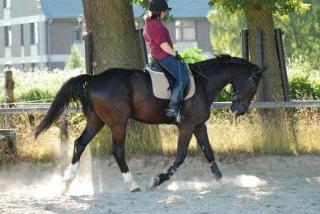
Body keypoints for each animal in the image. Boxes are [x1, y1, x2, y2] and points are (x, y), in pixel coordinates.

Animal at [33, 54, 262, 191]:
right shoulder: (187, 126)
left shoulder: (199, 125)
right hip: (118, 123)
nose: (239, 110)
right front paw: (159, 179)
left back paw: (67, 181)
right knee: (118, 151)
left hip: (97, 120)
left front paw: (220, 178)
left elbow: (208, 151)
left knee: (79, 144)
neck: (204, 83)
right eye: (254, 84)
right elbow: (181, 156)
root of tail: (93, 79)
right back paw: (132, 184)